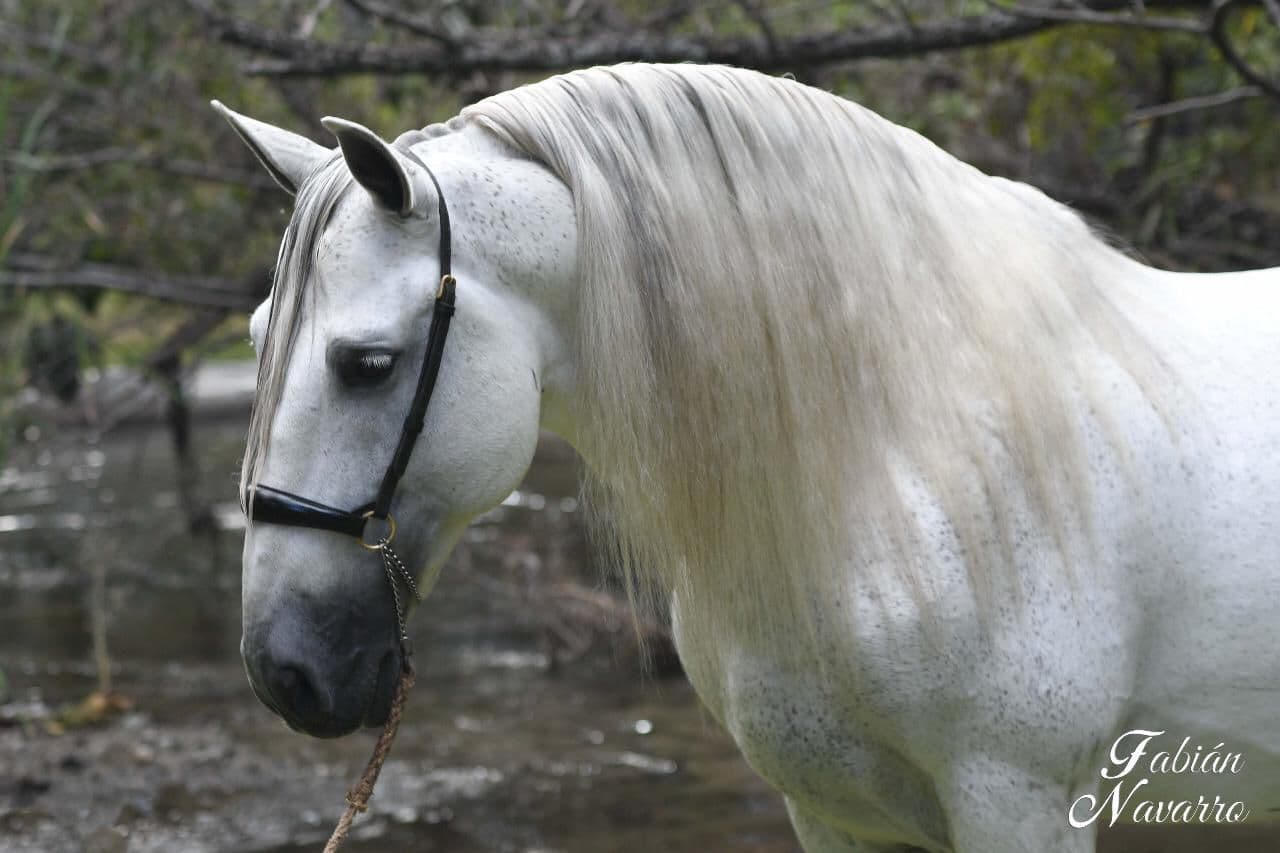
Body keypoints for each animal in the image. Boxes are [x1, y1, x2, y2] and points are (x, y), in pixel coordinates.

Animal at [213, 63, 1280, 852]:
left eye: (367, 363)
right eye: (258, 337)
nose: (279, 671)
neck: (893, 461)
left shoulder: (1016, 799)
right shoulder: (834, 811)